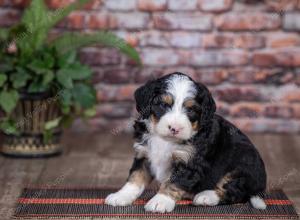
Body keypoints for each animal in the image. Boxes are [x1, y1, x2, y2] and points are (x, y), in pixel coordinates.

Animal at [105, 72, 268, 213]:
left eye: (190, 110)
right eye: (163, 105)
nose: (175, 128)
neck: (166, 140)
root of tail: (260, 188)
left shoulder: (189, 162)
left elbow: (173, 182)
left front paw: (160, 201)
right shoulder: (144, 154)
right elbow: (135, 177)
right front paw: (121, 196)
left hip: (242, 166)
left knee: (235, 192)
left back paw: (206, 196)